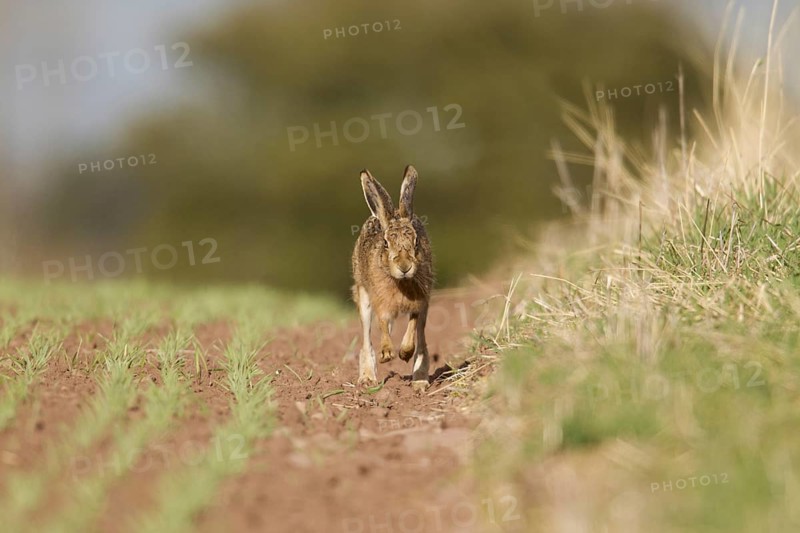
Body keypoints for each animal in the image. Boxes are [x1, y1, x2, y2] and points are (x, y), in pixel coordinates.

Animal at [351, 165, 434, 391]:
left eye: (416, 243)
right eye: (386, 244)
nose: (404, 267)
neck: (401, 283)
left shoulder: (419, 303)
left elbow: (412, 328)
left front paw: (404, 352)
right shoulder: (380, 302)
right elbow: (382, 324)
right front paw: (387, 353)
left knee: (421, 340)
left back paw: (420, 380)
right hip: (363, 297)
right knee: (367, 338)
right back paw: (367, 378)